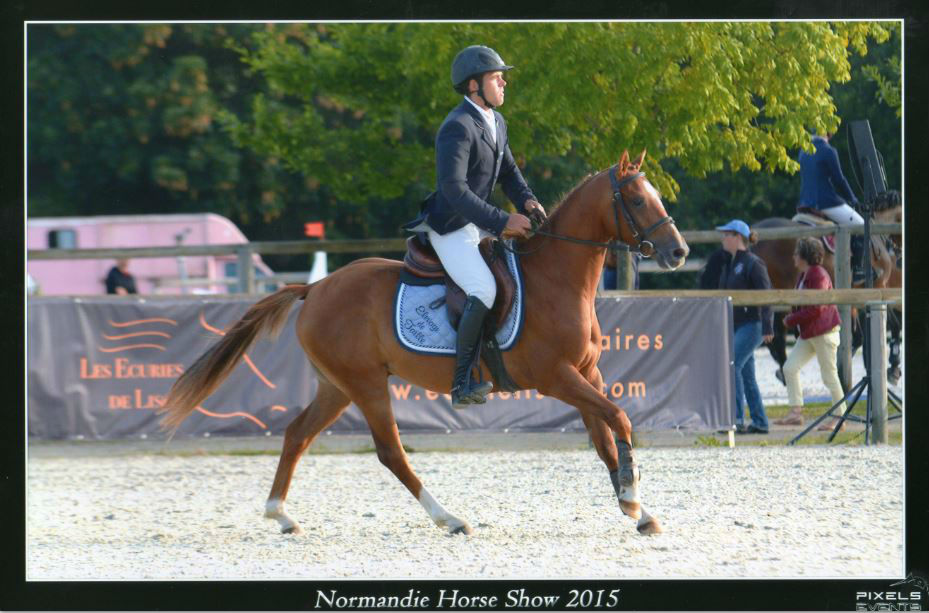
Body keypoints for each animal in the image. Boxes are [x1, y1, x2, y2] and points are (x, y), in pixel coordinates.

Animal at [156, 152, 684, 536]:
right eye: (637, 201)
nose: (678, 252)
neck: (556, 279)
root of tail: (316, 287)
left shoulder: (586, 373)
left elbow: (605, 439)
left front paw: (636, 509)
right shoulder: (557, 377)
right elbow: (619, 419)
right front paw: (632, 497)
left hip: (337, 386)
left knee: (297, 434)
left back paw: (280, 514)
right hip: (366, 385)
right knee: (391, 452)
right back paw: (449, 518)